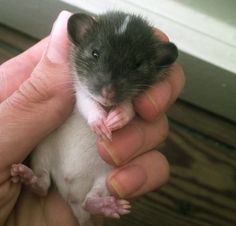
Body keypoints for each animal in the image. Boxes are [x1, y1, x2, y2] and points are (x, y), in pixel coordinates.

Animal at [10, 11, 178, 226]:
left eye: (138, 64)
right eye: (95, 53)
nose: (108, 93)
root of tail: (71, 197)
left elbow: (130, 108)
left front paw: (118, 117)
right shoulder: (80, 92)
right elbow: (87, 103)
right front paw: (99, 122)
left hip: (106, 178)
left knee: (89, 200)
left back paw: (104, 206)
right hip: (42, 152)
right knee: (43, 184)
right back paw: (26, 176)